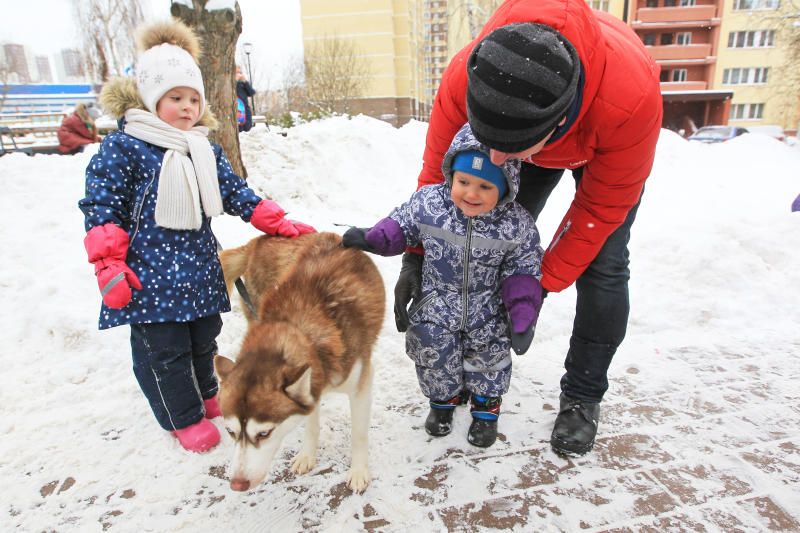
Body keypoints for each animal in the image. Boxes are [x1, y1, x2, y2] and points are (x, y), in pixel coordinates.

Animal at [216, 231, 384, 492]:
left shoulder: (361, 384)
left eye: (264, 434)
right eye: (230, 431)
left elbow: (359, 434)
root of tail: (257, 241)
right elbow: (311, 423)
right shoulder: (313, 386)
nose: (237, 484)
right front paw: (307, 456)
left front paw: (358, 472)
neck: (300, 328)